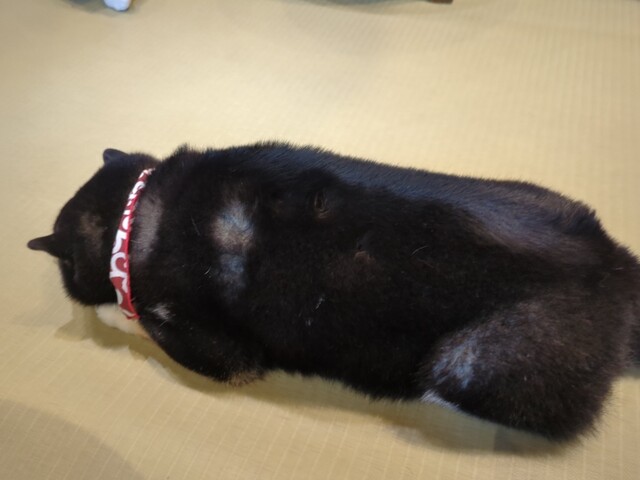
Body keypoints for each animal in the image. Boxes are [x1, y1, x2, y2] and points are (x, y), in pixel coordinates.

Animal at [28, 143, 640, 441]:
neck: (135, 216)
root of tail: (614, 269)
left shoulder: (217, 351)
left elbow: (136, 315)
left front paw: (115, 311)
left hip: (469, 362)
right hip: (542, 199)